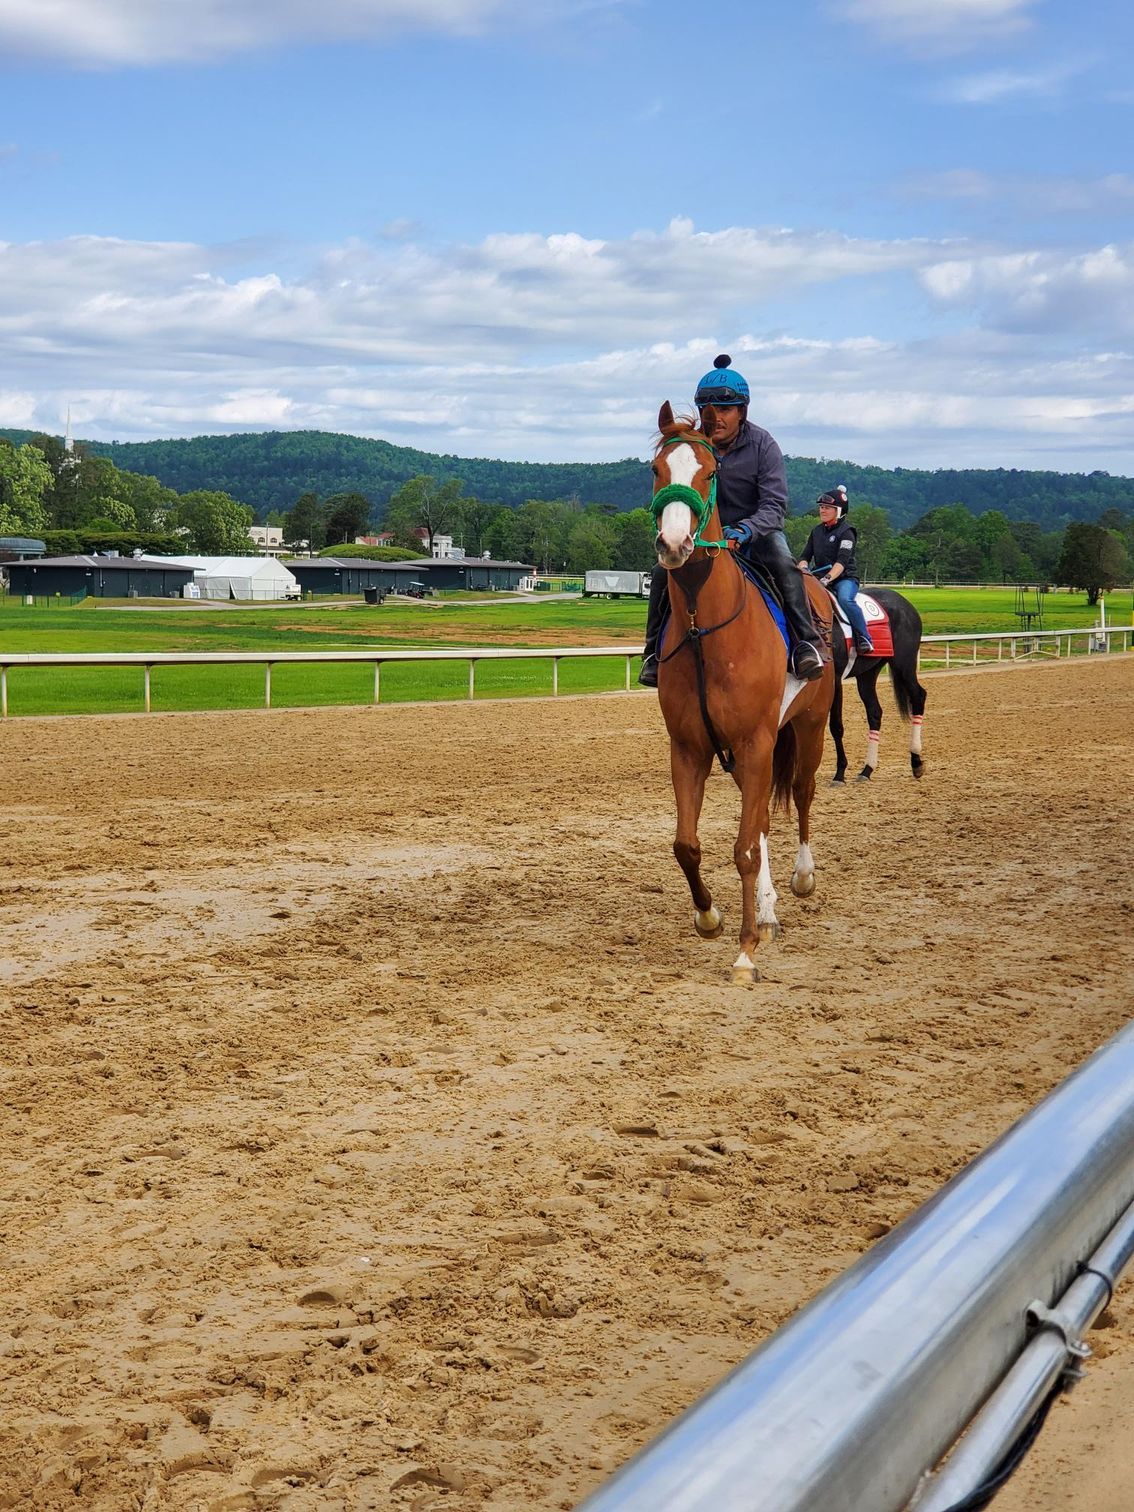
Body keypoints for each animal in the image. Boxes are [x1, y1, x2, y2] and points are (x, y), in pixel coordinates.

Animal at [650, 402, 836, 984]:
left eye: (709, 472)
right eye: (656, 471)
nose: (674, 545)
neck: (704, 631)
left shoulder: (757, 742)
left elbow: (745, 849)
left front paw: (746, 950)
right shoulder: (691, 747)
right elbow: (688, 844)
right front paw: (709, 916)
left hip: (809, 726)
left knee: (802, 793)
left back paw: (801, 879)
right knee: (761, 822)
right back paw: (771, 909)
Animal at [824, 585, 927, 783]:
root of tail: (907, 605)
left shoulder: (835, 679)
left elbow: (836, 726)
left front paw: (840, 773)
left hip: (904, 664)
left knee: (918, 696)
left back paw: (916, 762)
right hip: (868, 673)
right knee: (875, 712)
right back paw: (867, 769)